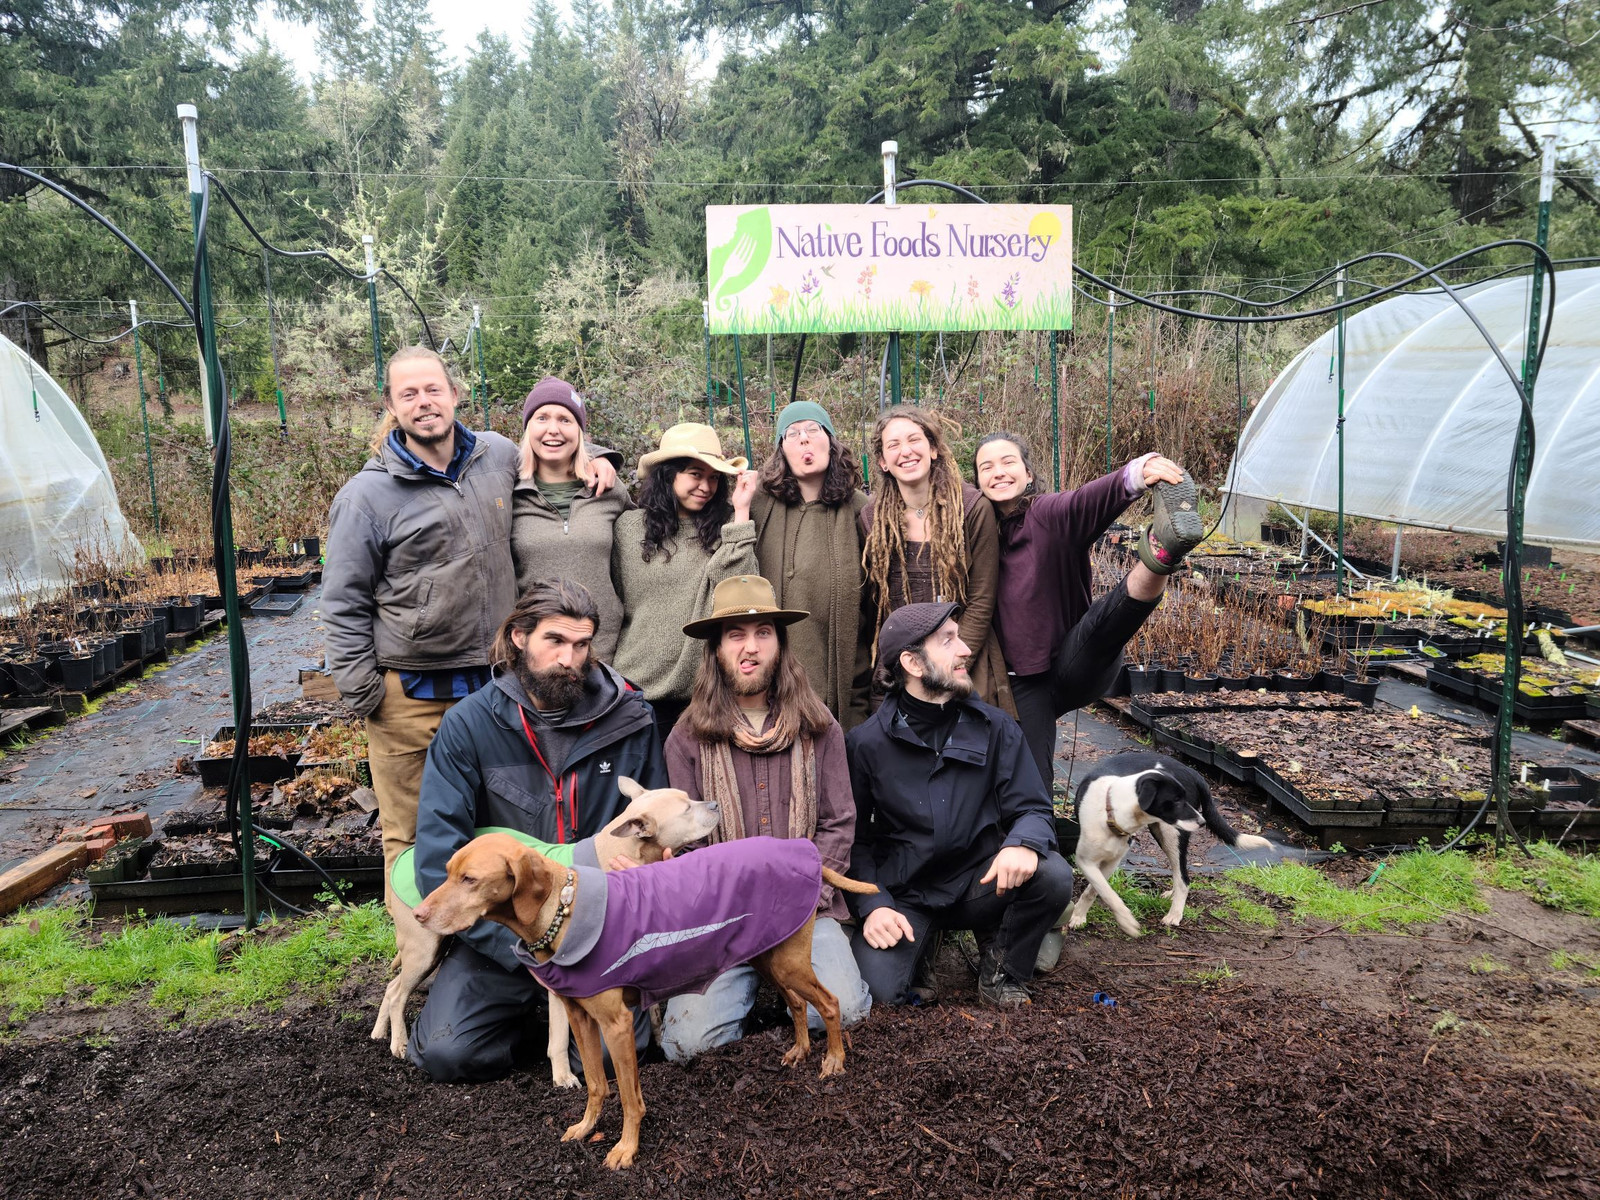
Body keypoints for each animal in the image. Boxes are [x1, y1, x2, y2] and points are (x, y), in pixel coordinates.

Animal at [1068, 752, 1267, 940]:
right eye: (1176, 800)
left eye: (1183, 797)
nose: (1202, 822)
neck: (1111, 810)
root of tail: (1192, 772)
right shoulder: (1086, 860)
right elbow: (1100, 889)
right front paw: (1080, 916)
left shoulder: (1111, 860)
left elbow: (1098, 890)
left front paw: (1124, 922)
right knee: (1180, 874)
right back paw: (1171, 896)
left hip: (1171, 834)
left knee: (1183, 879)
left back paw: (1174, 915)